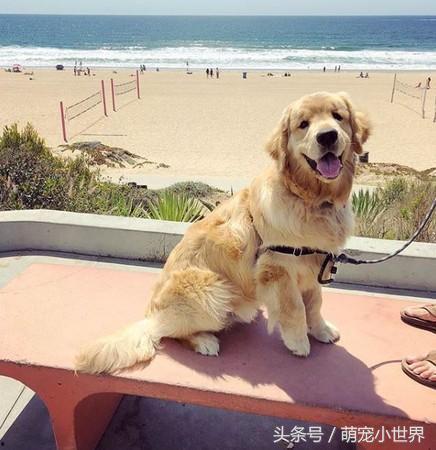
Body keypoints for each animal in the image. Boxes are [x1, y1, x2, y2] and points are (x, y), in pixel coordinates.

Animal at [76, 91, 371, 374]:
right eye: (303, 124)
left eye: (338, 116)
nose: (328, 136)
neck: (313, 200)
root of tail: (150, 315)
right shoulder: (278, 269)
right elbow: (296, 308)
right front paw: (299, 343)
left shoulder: (316, 262)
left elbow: (315, 302)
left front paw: (321, 330)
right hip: (210, 289)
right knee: (170, 333)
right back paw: (204, 341)